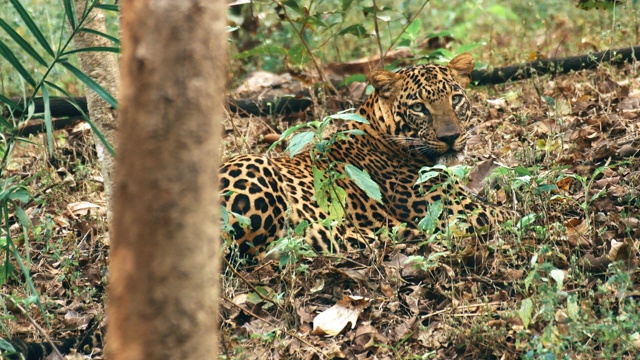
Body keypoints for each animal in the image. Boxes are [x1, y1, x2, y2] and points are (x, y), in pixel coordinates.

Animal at [221, 53, 516, 260]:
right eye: (418, 108)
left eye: (455, 99)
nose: (450, 137)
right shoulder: (461, 212)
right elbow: (509, 212)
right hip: (256, 167)